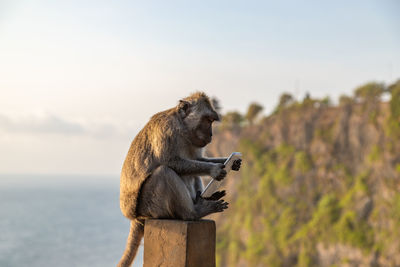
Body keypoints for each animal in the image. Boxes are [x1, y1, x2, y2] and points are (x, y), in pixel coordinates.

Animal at [115, 92, 241, 267]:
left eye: (212, 121)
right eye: (207, 120)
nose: (211, 134)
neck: (183, 128)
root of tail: (136, 216)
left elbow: (198, 160)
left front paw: (230, 162)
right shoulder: (167, 130)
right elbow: (169, 161)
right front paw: (214, 170)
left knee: (191, 174)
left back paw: (202, 200)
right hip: (151, 207)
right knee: (164, 172)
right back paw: (194, 212)